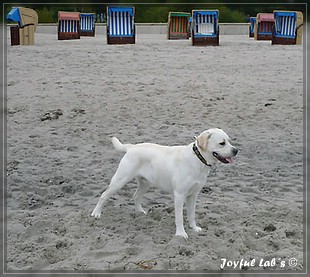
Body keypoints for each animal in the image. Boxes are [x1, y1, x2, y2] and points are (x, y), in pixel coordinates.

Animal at [91, 127, 239, 237]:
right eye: (222, 143)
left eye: (229, 141)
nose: (236, 150)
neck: (198, 159)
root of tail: (131, 147)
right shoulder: (179, 195)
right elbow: (179, 217)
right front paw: (181, 234)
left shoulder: (193, 194)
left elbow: (191, 215)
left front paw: (194, 228)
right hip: (120, 180)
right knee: (104, 195)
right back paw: (96, 213)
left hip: (145, 183)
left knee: (136, 196)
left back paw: (140, 212)